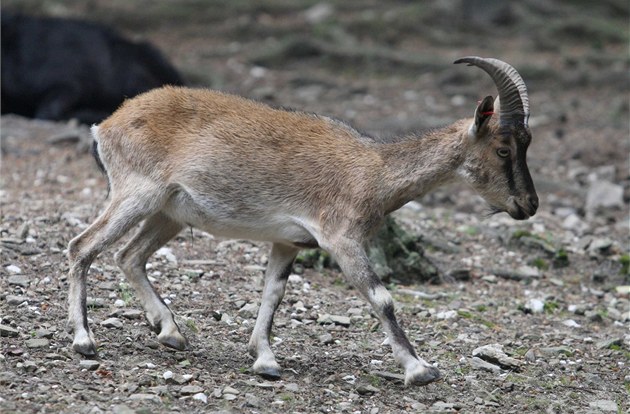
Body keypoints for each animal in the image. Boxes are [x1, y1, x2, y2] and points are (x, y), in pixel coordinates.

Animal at [68, 56, 540, 386]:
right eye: (503, 148)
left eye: (526, 143)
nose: (528, 205)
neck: (374, 171)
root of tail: (106, 125)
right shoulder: (340, 239)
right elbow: (382, 297)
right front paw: (419, 369)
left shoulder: (289, 241)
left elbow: (273, 295)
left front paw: (265, 360)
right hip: (135, 193)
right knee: (83, 246)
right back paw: (84, 341)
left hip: (169, 214)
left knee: (129, 256)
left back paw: (170, 332)